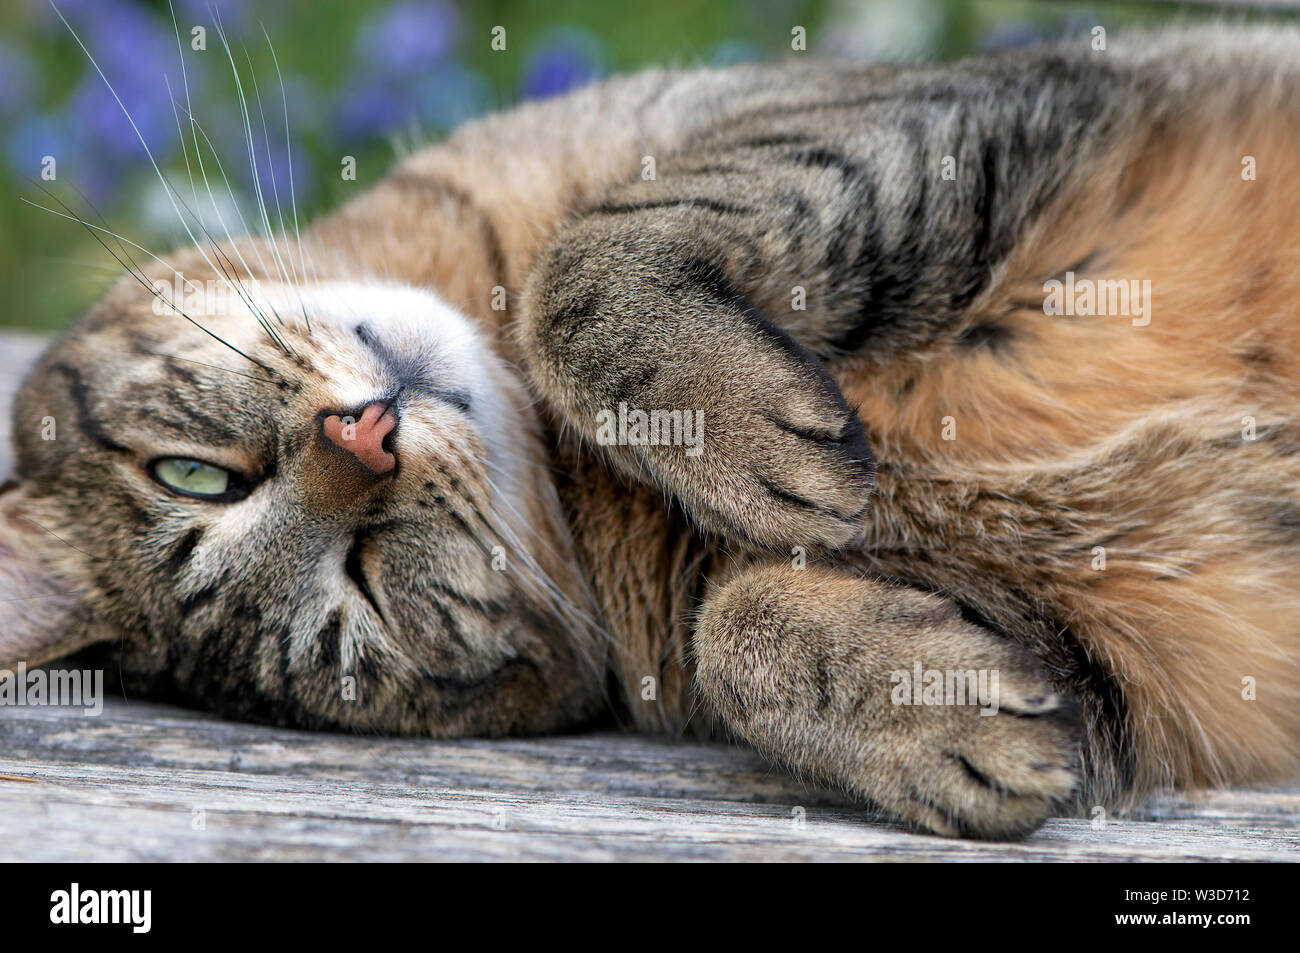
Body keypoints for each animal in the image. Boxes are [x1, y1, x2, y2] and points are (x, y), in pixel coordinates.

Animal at [2, 26, 1300, 837]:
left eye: (194, 474)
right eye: (361, 596)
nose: (364, 436)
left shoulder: (855, 118)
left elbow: (580, 265)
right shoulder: (1143, 646)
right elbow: (739, 626)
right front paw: (930, 717)